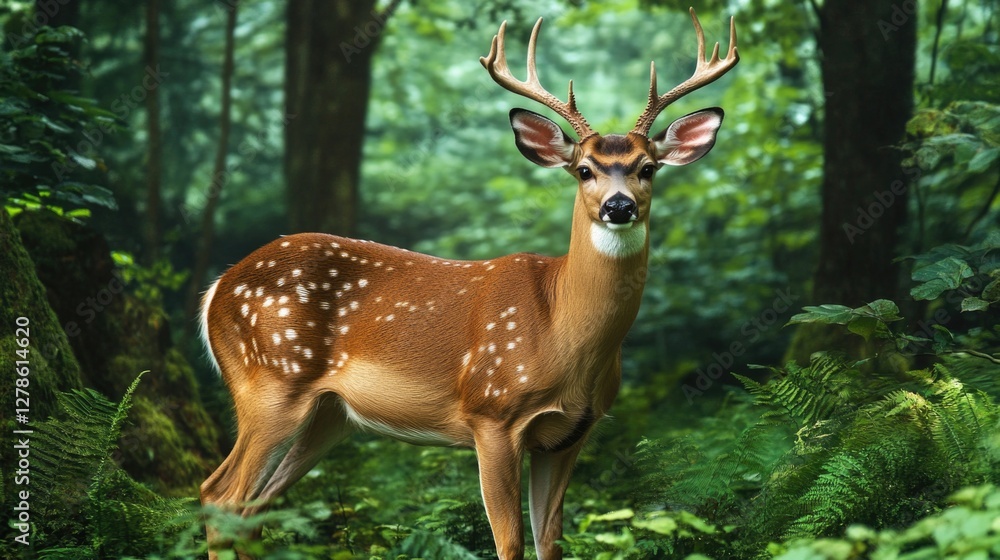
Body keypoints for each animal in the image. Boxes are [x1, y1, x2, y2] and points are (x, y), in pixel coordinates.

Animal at [199, 8, 737, 559]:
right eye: (584, 170)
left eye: (647, 168)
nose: (619, 206)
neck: (563, 330)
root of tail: (217, 287)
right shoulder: (492, 414)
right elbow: (510, 543)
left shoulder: (570, 434)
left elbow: (550, 542)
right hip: (269, 381)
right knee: (220, 496)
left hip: (329, 414)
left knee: (252, 508)